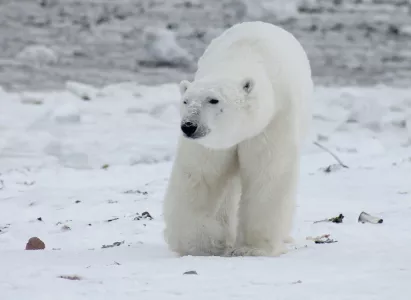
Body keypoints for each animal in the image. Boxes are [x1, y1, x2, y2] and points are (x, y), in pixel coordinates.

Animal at [163, 21, 312, 256]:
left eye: (213, 100)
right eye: (186, 101)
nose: (189, 126)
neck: (242, 56)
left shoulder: (272, 121)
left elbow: (268, 174)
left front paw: (252, 248)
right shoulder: (210, 145)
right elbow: (201, 176)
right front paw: (199, 245)